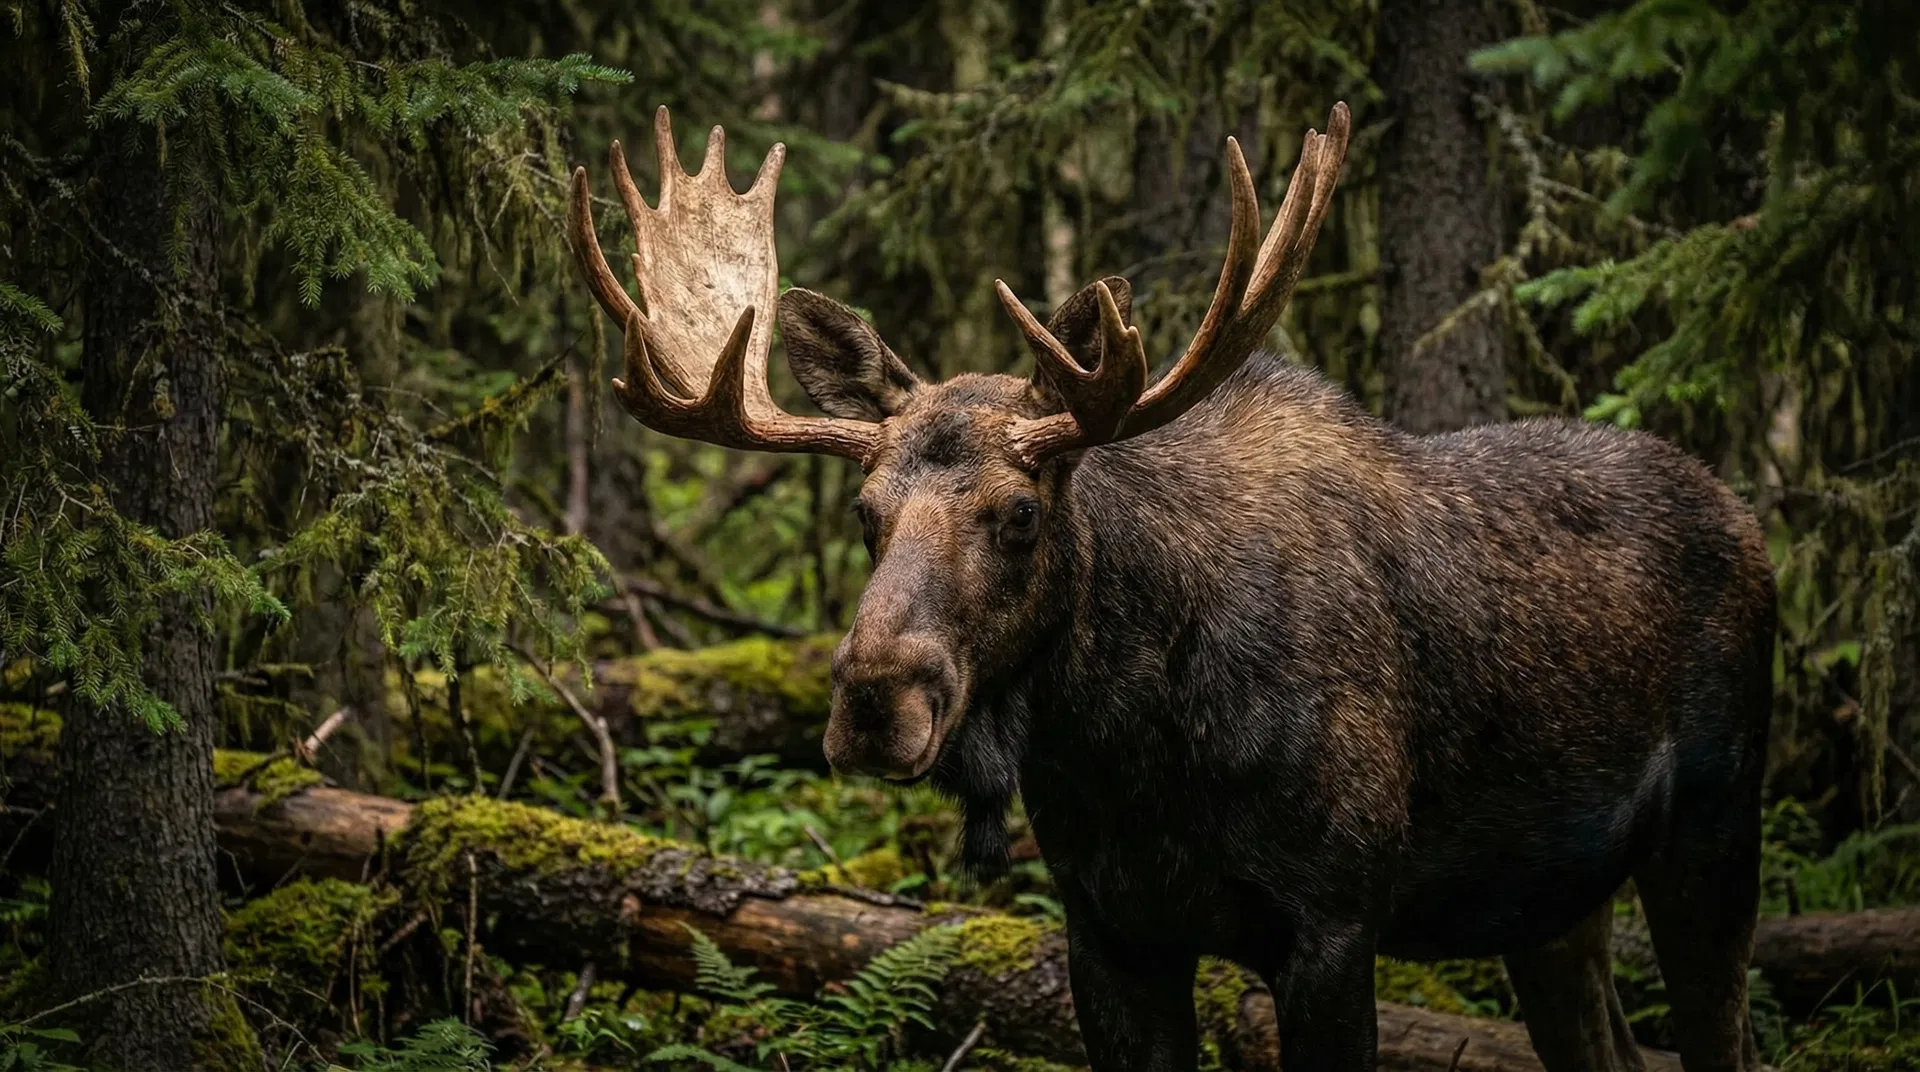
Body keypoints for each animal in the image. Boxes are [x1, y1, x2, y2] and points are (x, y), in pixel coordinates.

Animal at [567, 103, 1775, 1072]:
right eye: (866, 514)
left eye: (1020, 512)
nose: (874, 700)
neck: (1128, 747)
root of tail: (1747, 516)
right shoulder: (1112, 930)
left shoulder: (1334, 920)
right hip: (1547, 900)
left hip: (1716, 828)